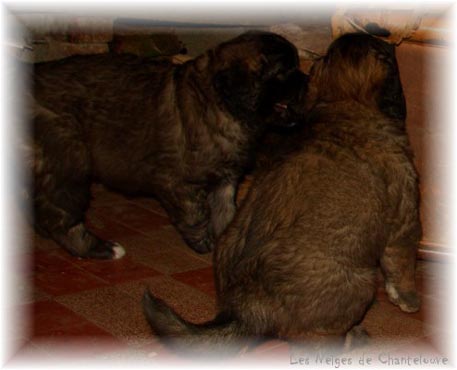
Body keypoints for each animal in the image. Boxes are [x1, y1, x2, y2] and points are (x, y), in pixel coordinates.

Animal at [26, 31, 308, 258]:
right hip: (68, 160)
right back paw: (99, 248)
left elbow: (226, 212)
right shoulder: (177, 182)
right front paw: (205, 244)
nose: (307, 81)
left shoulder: (225, 180)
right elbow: (197, 215)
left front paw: (226, 240)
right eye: (284, 71)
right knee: (59, 215)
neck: (219, 103)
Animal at [142, 34, 420, 356]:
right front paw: (410, 300)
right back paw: (353, 336)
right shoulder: (404, 217)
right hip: (360, 281)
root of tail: (246, 307)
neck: (345, 102)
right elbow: (403, 265)